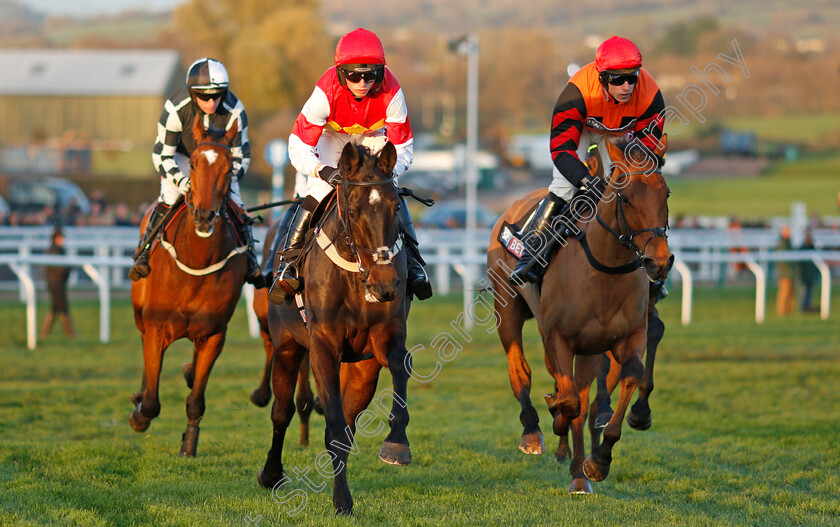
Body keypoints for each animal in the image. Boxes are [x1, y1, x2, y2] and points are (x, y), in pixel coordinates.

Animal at [128, 116, 246, 458]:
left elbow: (196, 398)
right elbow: (151, 402)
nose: (205, 217)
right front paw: (139, 414)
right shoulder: (156, 327)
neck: (196, 261)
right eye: (193, 163)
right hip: (141, 316)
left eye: (230, 168)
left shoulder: (214, 333)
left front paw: (188, 445)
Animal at [258, 141, 412, 516]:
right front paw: (342, 500)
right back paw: (271, 473)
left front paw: (397, 444)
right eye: (353, 211)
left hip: (360, 369)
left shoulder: (386, 340)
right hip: (286, 346)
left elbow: (399, 373)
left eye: (395, 207)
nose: (385, 285)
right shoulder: (323, 346)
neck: (356, 275)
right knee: (281, 412)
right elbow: (333, 428)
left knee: (349, 418)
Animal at [486, 136, 676, 496]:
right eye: (626, 198)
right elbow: (570, 402)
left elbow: (624, 379)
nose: (658, 261)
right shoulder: (560, 337)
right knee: (521, 372)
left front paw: (598, 461)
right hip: (508, 308)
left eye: (666, 194)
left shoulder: (627, 336)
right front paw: (555, 414)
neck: (605, 269)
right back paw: (533, 432)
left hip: (587, 347)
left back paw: (578, 469)